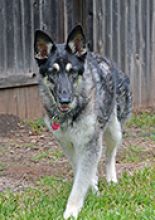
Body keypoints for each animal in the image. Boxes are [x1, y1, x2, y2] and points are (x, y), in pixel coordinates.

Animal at [34, 25, 132, 218]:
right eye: (52, 73)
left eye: (72, 72)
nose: (65, 100)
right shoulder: (67, 144)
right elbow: (80, 170)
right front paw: (91, 190)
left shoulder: (89, 142)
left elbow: (80, 181)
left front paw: (72, 210)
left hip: (114, 130)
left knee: (110, 155)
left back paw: (111, 179)